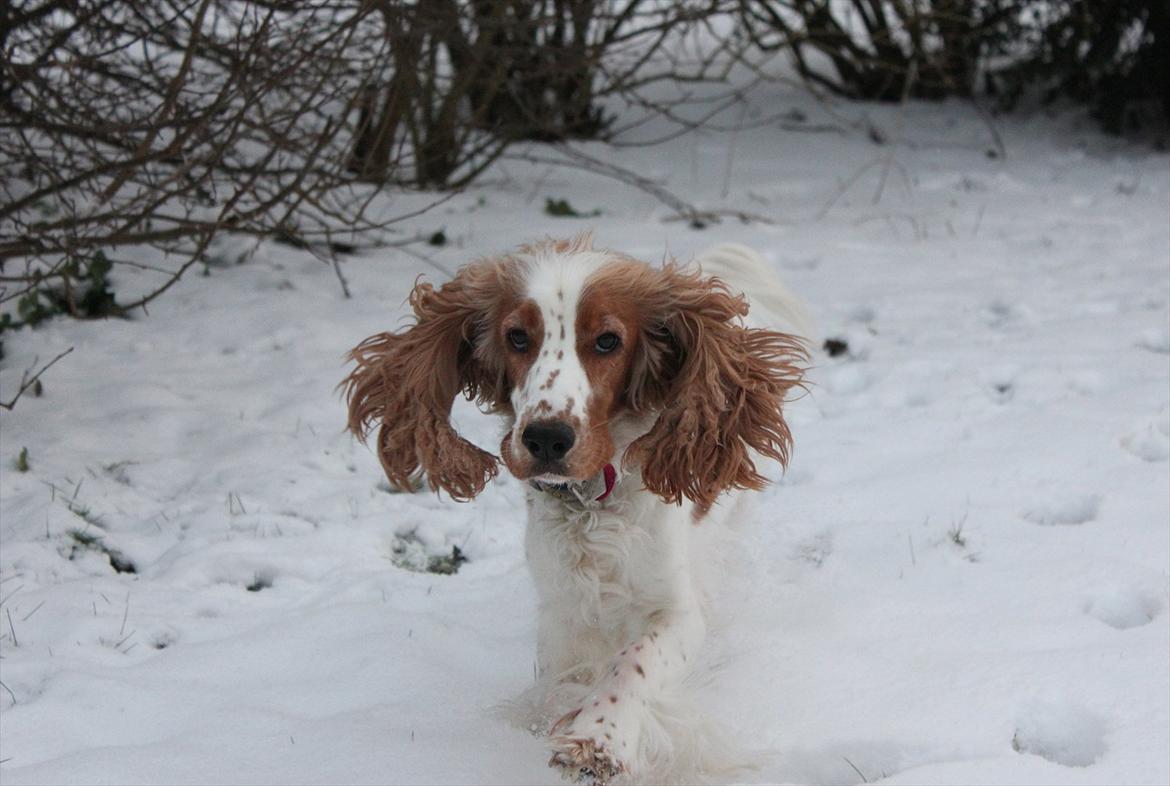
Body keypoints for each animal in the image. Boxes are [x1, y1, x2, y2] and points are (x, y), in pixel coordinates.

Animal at [341, 236, 809, 781]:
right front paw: (556, 715)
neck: (588, 504)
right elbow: (560, 675)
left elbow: (634, 661)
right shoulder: (562, 608)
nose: (546, 437)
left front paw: (597, 739)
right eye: (517, 337)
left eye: (607, 341)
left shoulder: (675, 607)